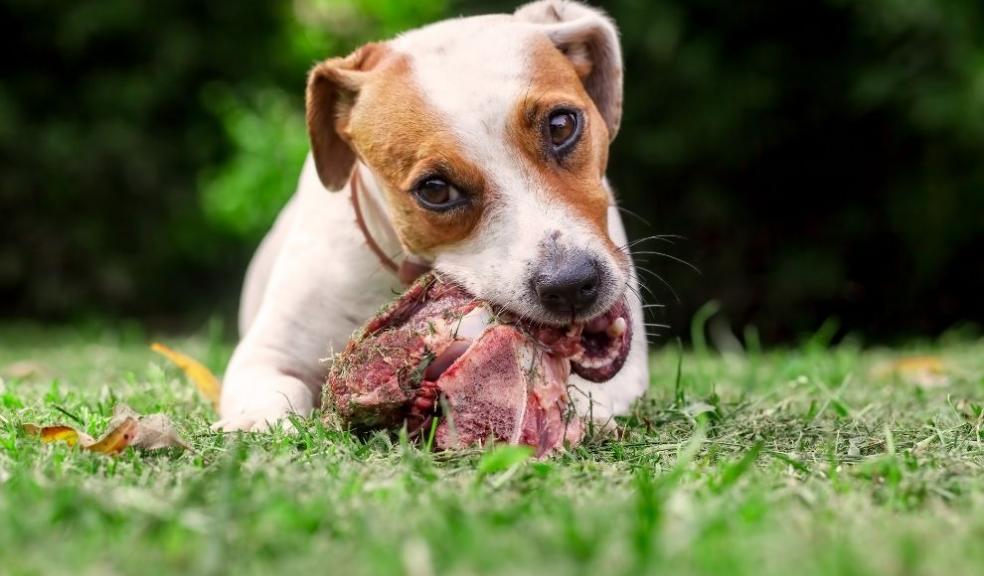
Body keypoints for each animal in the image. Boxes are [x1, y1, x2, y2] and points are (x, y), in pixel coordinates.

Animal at [211, 1, 648, 432]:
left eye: (561, 125)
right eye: (435, 189)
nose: (571, 284)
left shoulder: (627, 370)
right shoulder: (268, 354)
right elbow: (271, 400)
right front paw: (255, 424)